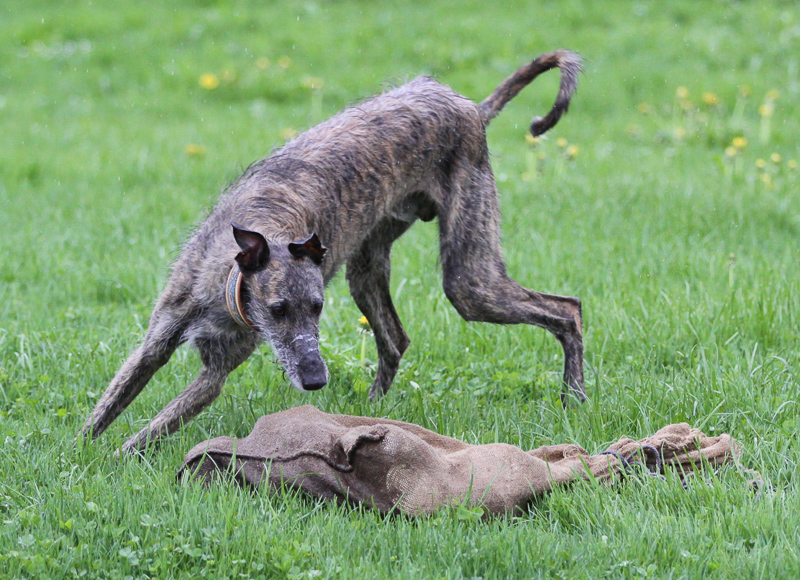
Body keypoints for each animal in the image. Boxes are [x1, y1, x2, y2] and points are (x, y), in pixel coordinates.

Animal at [79, 49, 580, 454]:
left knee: (567, 309)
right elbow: (107, 408)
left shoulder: (212, 377)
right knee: (395, 339)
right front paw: (77, 454)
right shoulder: (157, 341)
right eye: (278, 310)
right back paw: (373, 413)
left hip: (469, 281)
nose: (316, 380)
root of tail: (470, 106)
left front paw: (115, 460)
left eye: (318, 308)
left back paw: (574, 397)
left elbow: (149, 429)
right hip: (368, 269)